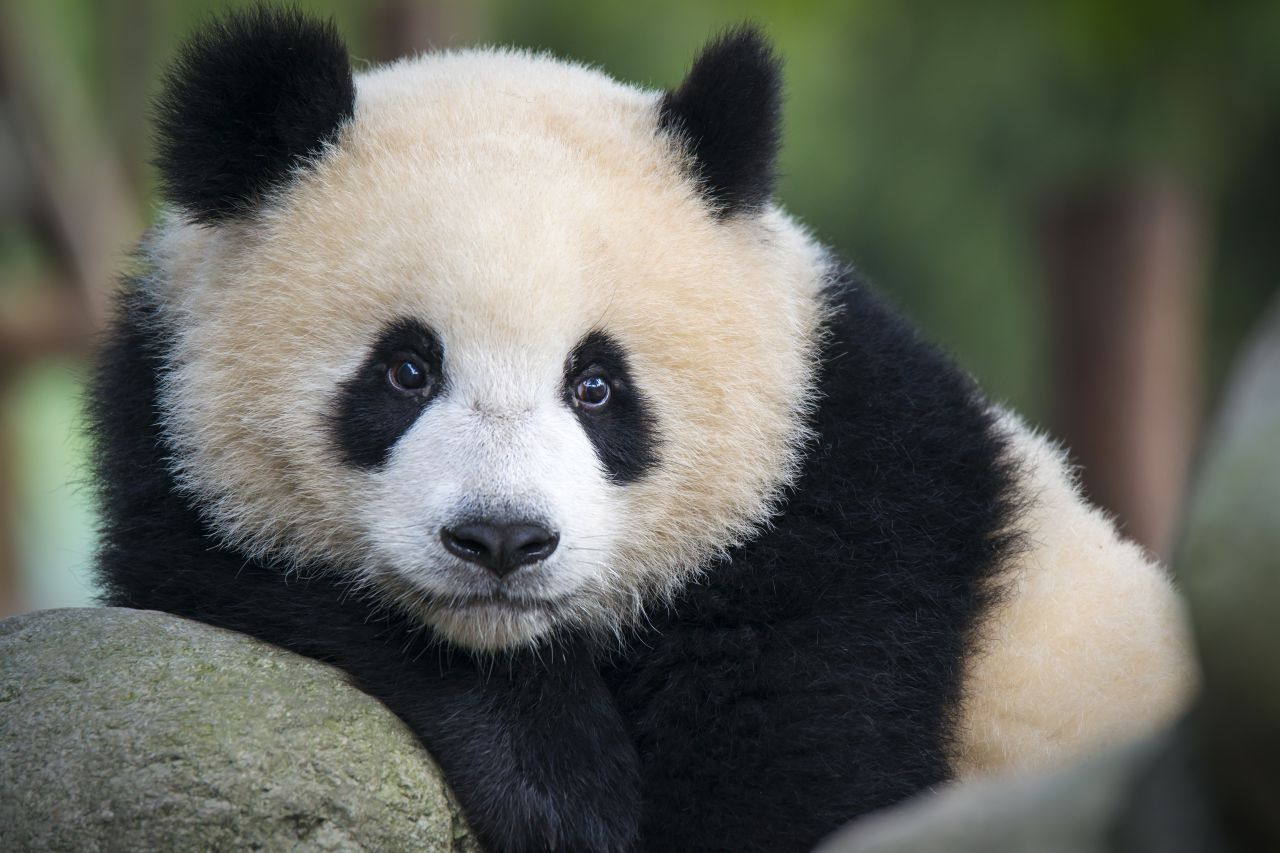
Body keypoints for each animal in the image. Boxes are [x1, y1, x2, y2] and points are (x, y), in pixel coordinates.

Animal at [92, 8, 1198, 850]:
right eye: (405, 370)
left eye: (596, 386)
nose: (502, 540)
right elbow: (223, 564)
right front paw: (558, 778)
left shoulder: (849, 531)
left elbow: (782, 792)